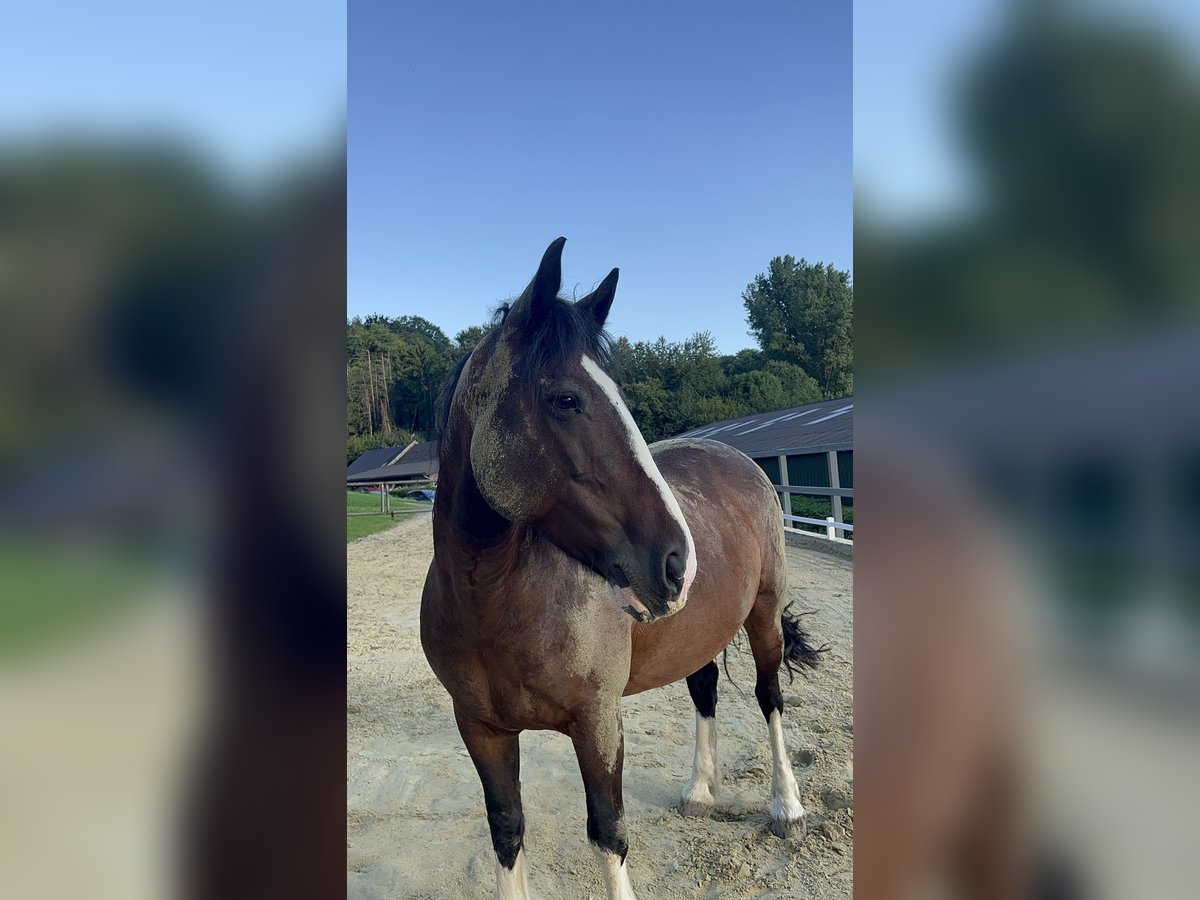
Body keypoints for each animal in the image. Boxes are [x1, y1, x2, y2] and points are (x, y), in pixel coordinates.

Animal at [417, 236, 820, 897]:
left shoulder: (599, 723)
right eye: (565, 399)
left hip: (763, 614)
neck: (496, 599)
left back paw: (786, 806)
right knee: (705, 689)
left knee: (769, 696)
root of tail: (738, 459)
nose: (678, 561)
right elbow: (506, 829)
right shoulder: (481, 729)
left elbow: (608, 831)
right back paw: (700, 792)